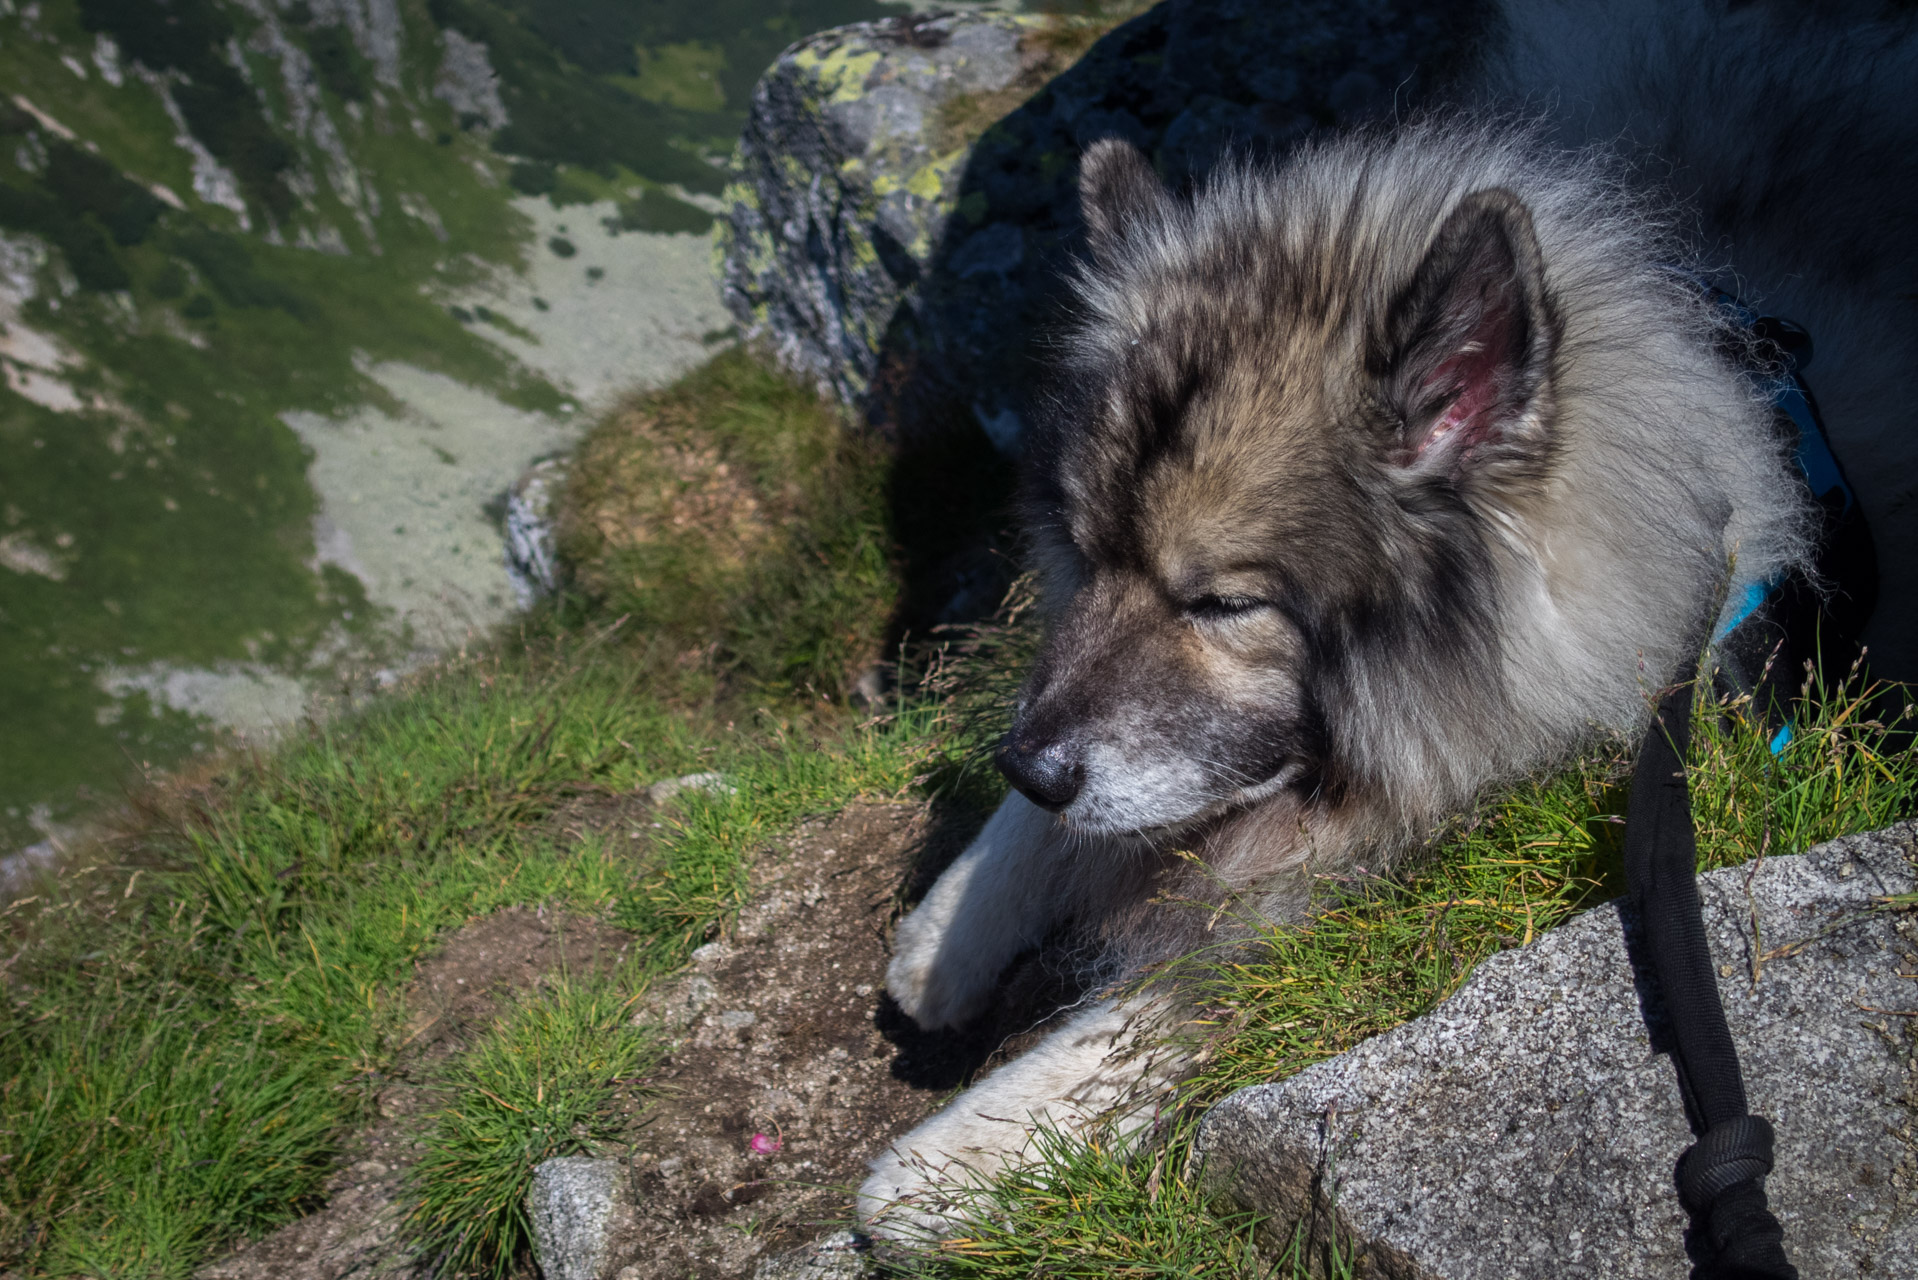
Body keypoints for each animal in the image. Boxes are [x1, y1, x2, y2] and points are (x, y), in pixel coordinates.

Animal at [859, 0, 1918, 1243]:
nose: (1026, 768)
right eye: (1085, 551)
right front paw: (950, 925)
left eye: (1221, 602)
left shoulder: (1416, 879)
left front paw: (947, 1160)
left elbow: (1178, 1000)